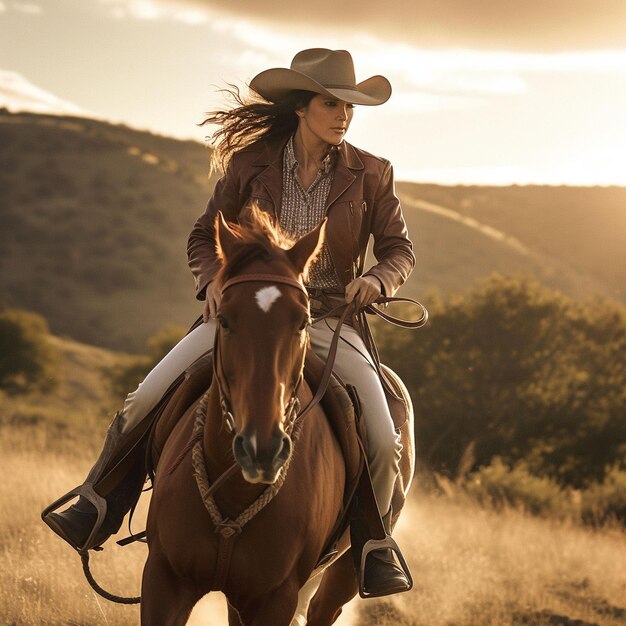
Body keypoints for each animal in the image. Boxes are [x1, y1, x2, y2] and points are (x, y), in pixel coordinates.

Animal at [141, 210, 414, 624]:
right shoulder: (164, 579)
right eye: (224, 319)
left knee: (324, 606)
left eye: (302, 321)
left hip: (343, 573)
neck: (237, 489)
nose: (262, 448)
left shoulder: (275, 599)